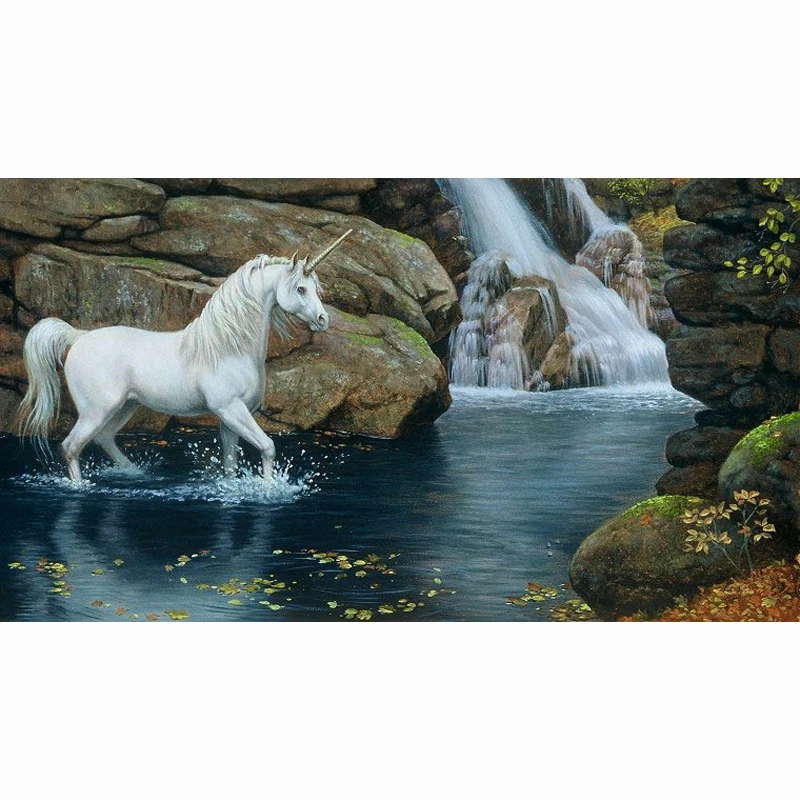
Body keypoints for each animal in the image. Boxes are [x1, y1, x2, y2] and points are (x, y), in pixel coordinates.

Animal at [18, 229, 353, 483]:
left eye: (314, 289)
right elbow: (268, 447)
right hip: (96, 410)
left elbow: (230, 463)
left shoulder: (230, 418)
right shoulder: (231, 410)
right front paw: (268, 490)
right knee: (70, 447)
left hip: (125, 407)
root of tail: (79, 337)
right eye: (300, 289)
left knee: (104, 438)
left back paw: (136, 474)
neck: (227, 347)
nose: (323, 320)